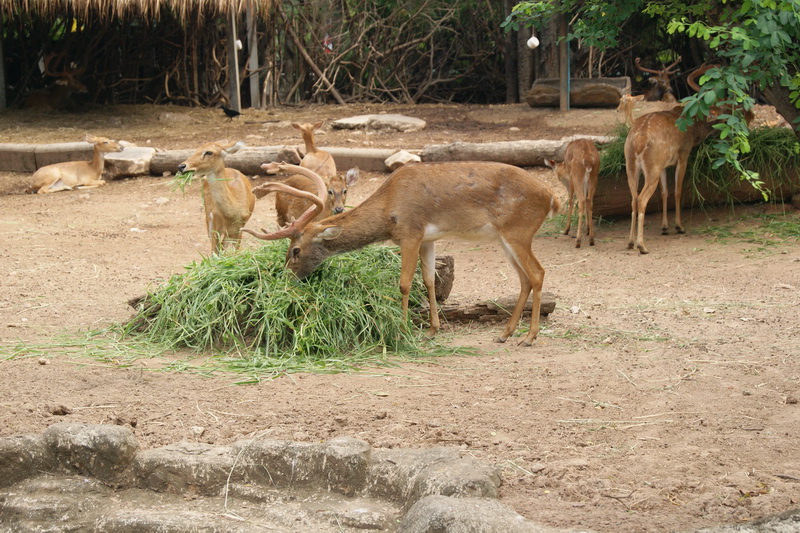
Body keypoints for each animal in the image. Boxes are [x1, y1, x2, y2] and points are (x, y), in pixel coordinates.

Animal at [245, 160, 564, 348]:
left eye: (295, 250)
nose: (287, 278)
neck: (389, 211)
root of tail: (553, 197)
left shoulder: (410, 233)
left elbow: (404, 284)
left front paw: (402, 330)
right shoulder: (427, 238)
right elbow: (429, 281)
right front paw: (432, 330)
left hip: (518, 231)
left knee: (538, 273)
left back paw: (529, 337)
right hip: (505, 238)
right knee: (524, 279)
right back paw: (504, 333)